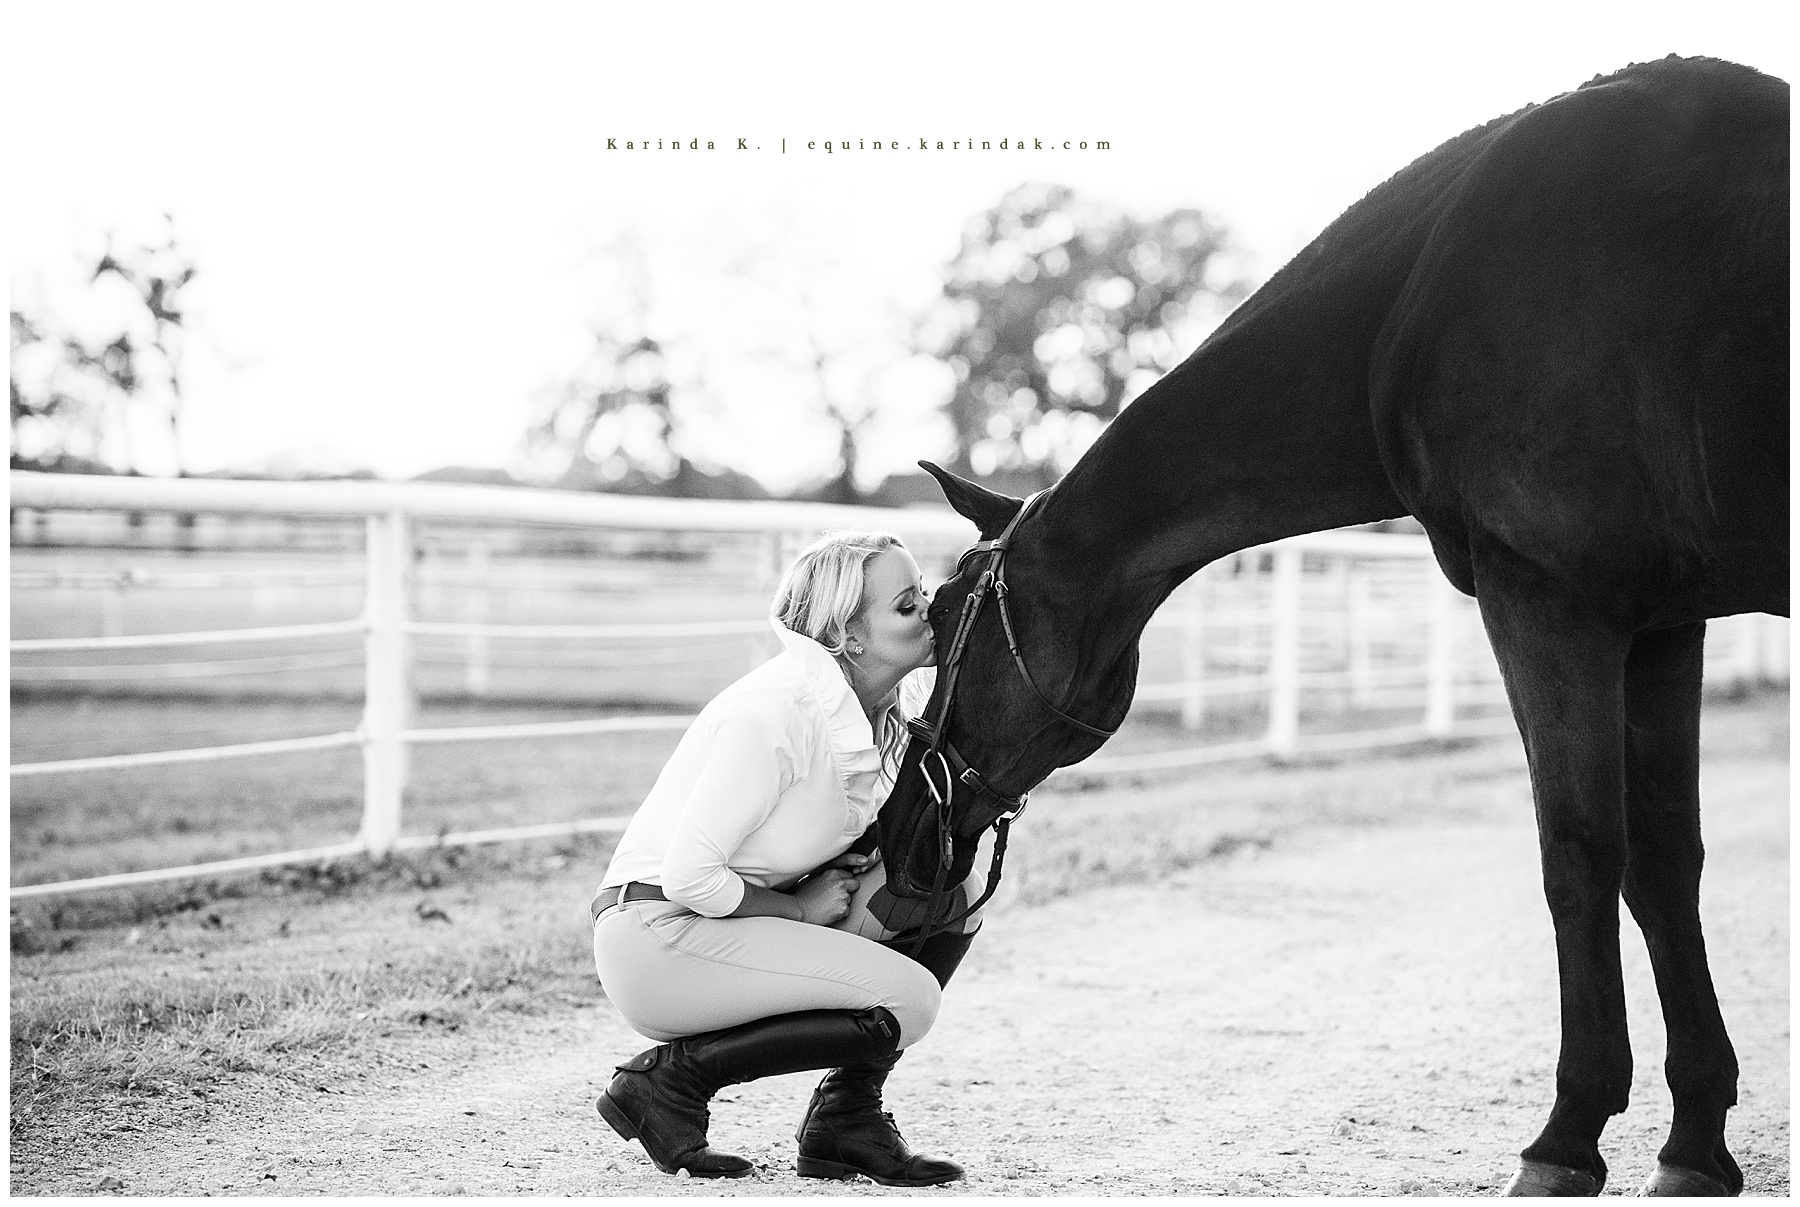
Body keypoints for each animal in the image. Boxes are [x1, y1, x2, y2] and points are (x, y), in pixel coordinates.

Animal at [889, 56, 1788, 1197]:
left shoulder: (1550, 600)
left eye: (946, 615)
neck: (1424, 288)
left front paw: (1565, 1136)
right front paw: (1695, 1143)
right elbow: (1665, 865)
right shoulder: (1662, 623)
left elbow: (1580, 853)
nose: (904, 826)